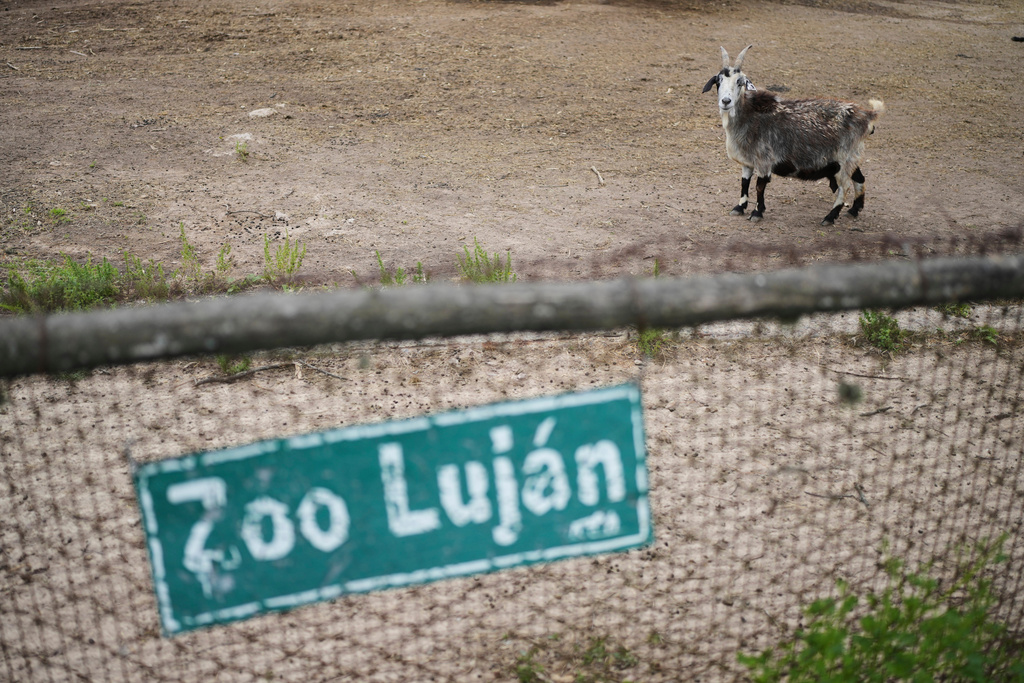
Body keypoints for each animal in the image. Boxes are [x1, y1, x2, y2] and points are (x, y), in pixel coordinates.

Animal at [702, 45, 885, 226]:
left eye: (740, 82)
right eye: (718, 81)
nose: (726, 101)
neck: (748, 115)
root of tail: (867, 116)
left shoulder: (764, 161)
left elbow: (759, 186)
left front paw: (757, 212)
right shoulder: (747, 163)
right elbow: (744, 183)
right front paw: (739, 208)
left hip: (846, 159)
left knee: (844, 187)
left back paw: (830, 216)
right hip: (850, 158)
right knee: (859, 179)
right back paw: (854, 210)